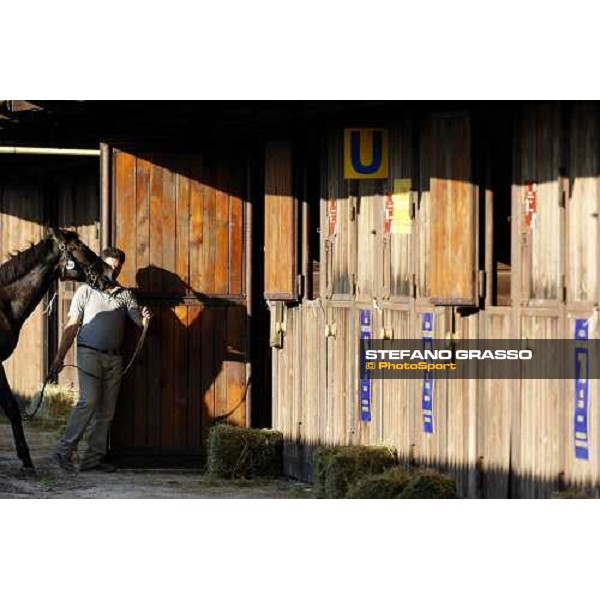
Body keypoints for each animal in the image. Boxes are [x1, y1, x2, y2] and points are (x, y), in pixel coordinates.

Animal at [0, 227, 113, 472]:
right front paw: (26, 459)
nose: (109, 274)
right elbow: (11, 407)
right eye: (79, 247)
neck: (2, 305)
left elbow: (11, 407)